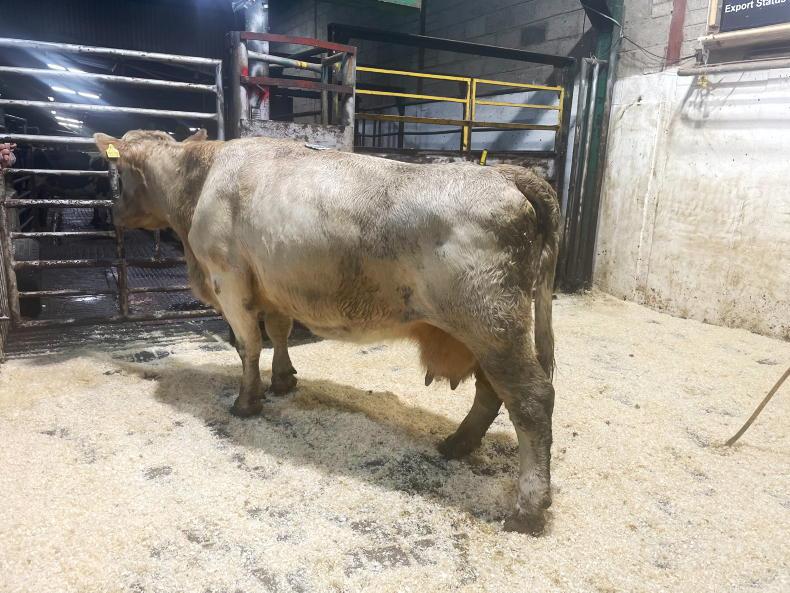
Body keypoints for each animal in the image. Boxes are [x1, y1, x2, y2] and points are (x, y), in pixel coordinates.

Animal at [94, 129, 560, 535]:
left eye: (117, 173)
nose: (112, 214)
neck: (201, 178)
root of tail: (506, 174)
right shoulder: (274, 287)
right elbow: (279, 332)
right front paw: (283, 380)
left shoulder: (230, 280)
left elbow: (248, 345)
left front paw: (247, 401)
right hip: (484, 332)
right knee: (491, 391)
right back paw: (458, 443)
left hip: (493, 325)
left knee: (531, 399)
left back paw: (527, 508)